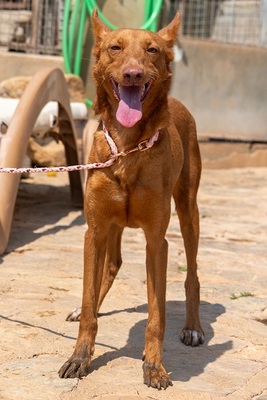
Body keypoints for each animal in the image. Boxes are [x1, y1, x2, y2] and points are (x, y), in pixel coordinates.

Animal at [59, 9, 205, 390]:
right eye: (115, 47)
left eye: (152, 49)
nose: (133, 74)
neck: (127, 147)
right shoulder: (94, 231)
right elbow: (89, 297)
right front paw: (80, 356)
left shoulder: (157, 241)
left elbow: (156, 316)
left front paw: (154, 366)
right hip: (111, 225)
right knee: (109, 267)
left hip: (189, 211)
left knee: (192, 274)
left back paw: (193, 328)